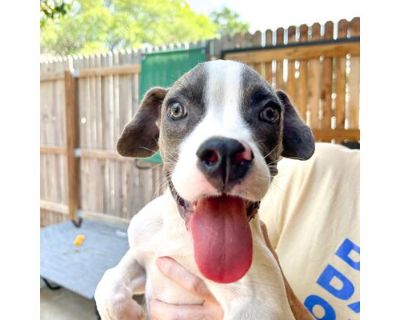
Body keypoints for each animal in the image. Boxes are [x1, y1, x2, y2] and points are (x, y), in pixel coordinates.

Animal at [94, 60, 316, 320]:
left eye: (270, 113)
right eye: (176, 110)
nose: (225, 151)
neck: (183, 234)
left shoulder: (263, 305)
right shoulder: (142, 251)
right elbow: (109, 284)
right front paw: (131, 313)